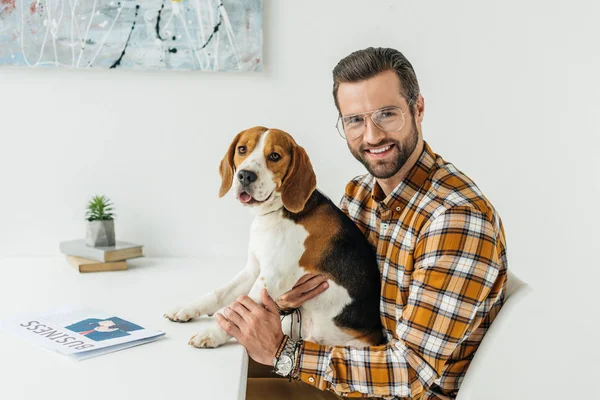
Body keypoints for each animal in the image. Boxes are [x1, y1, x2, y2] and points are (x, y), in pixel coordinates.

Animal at [164, 126, 382, 348]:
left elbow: (239, 310)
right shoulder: (253, 270)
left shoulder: (273, 277)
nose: (245, 175)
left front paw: (212, 334)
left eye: (275, 156)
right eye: (242, 149)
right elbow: (219, 294)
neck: (276, 212)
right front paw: (187, 309)